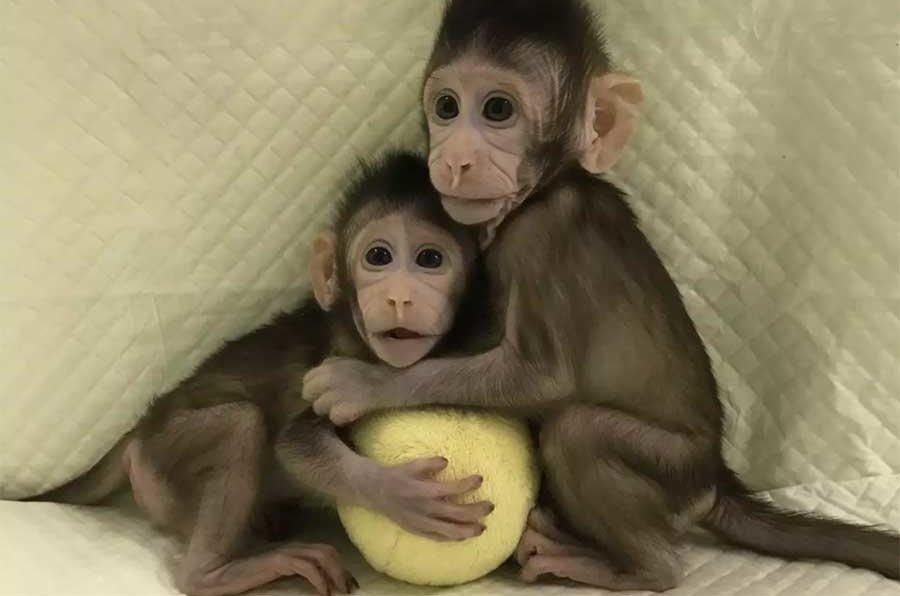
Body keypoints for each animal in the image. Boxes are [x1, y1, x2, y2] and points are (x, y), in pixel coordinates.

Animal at [29, 151, 494, 596]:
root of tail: (141, 430)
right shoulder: (331, 363)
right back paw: (215, 573)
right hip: (164, 455)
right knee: (240, 422)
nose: (399, 297)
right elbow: (294, 443)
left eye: (430, 259)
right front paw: (398, 493)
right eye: (378, 257)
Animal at [301, 0, 900, 590]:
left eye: (497, 110)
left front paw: (365, 382)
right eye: (447, 107)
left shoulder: (539, 238)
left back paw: (623, 565)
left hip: (670, 467)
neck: (548, 187)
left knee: (579, 432)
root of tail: (714, 478)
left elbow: (543, 377)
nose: (454, 159)